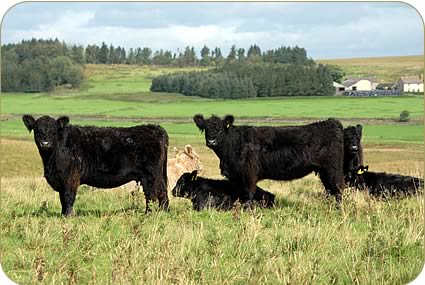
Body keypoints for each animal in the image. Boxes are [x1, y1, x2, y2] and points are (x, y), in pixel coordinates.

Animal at [22, 114, 169, 214]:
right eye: (37, 130)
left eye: (54, 131)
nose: (45, 143)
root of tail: (154, 128)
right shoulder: (61, 180)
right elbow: (62, 199)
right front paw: (63, 215)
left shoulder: (71, 177)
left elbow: (68, 197)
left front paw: (68, 216)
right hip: (157, 176)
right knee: (162, 192)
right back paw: (164, 212)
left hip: (150, 176)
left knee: (151, 195)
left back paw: (149, 214)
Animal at [192, 113, 344, 204]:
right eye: (206, 129)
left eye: (220, 129)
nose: (211, 141)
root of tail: (331, 123)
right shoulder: (237, 178)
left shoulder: (249, 175)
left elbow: (248, 194)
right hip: (324, 172)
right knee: (331, 190)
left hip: (333, 170)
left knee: (338, 190)